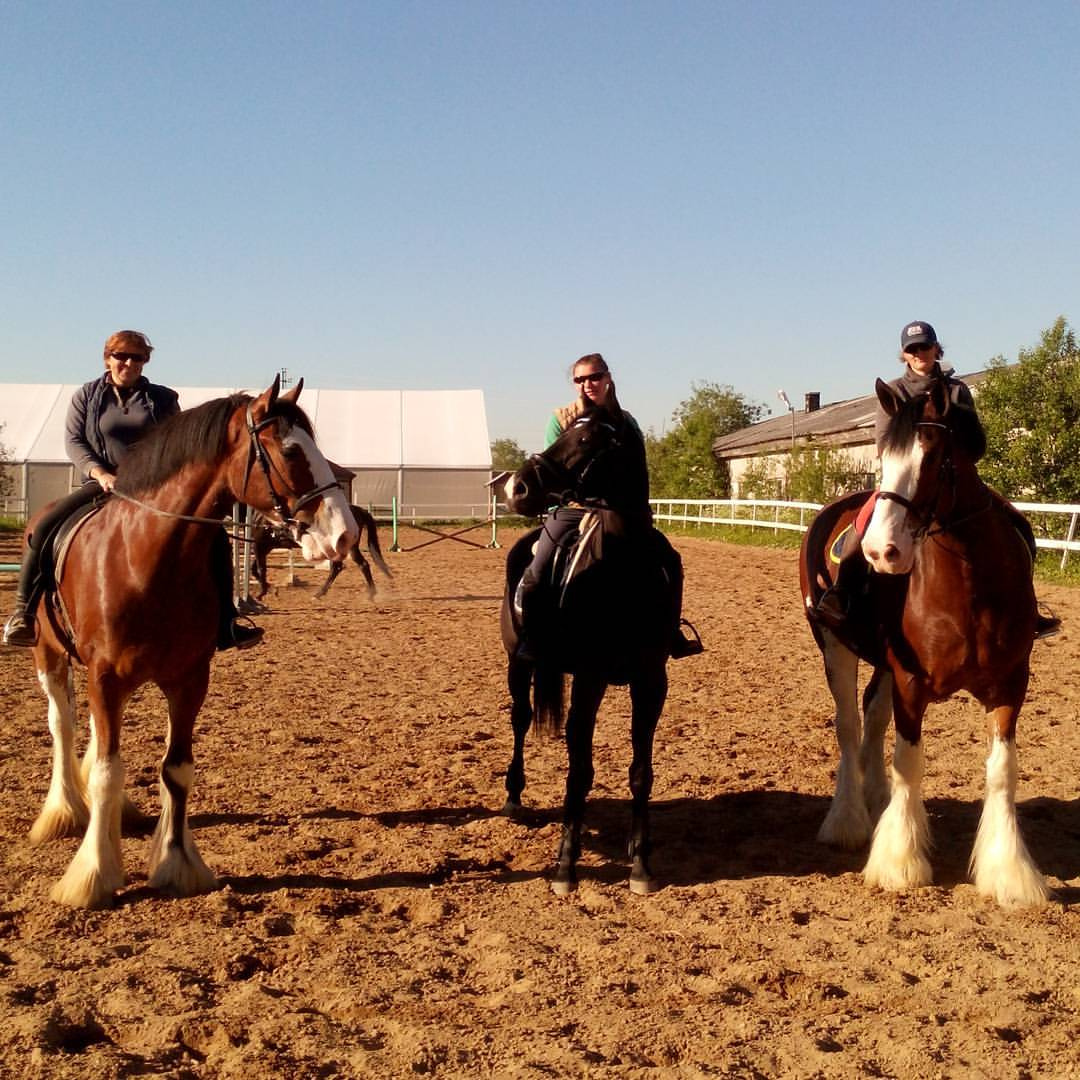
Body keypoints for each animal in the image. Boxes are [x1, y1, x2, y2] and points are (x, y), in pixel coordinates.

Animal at [24, 375, 358, 907]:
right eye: (289, 450)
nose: (344, 534)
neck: (145, 557)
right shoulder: (104, 677)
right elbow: (106, 770)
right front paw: (93, 874)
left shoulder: (188, 679)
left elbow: (176, 770)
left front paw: (178, 864)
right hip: (49, 655)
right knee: (64, 726)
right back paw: (64, 812)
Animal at [247, 503, 393, 604]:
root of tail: (358, 510)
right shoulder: (265, 547)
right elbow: (254, 569)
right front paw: (271, 589)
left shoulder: (259, 546)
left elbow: (260, 569)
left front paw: (262, 593)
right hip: (350, 548)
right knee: (355, 565)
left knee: (343, 567)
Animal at [498, 406, 673, 894]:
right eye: (565, 434)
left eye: (589, 441)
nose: (516, 488)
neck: (623, 577)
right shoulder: (589, 679)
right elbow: (580, 771)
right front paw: (565, 865)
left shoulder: (652, 682)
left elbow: (641, 772)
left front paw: (641, 863)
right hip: (517, 664)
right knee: (520, 719)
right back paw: (514, 796)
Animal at [803, 375, 1045, 907]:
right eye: (882, 455)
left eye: (933, 458)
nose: (881, 552)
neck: (969, 588)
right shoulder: (911, 685)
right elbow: (909, 762)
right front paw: (900, 862)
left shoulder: (1010, 686)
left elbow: (1002, 770)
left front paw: (1010, 872)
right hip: (835, 646)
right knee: (849, 726)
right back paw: (847, 820)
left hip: (881, 663)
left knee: (872, 717)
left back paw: (875, 798)